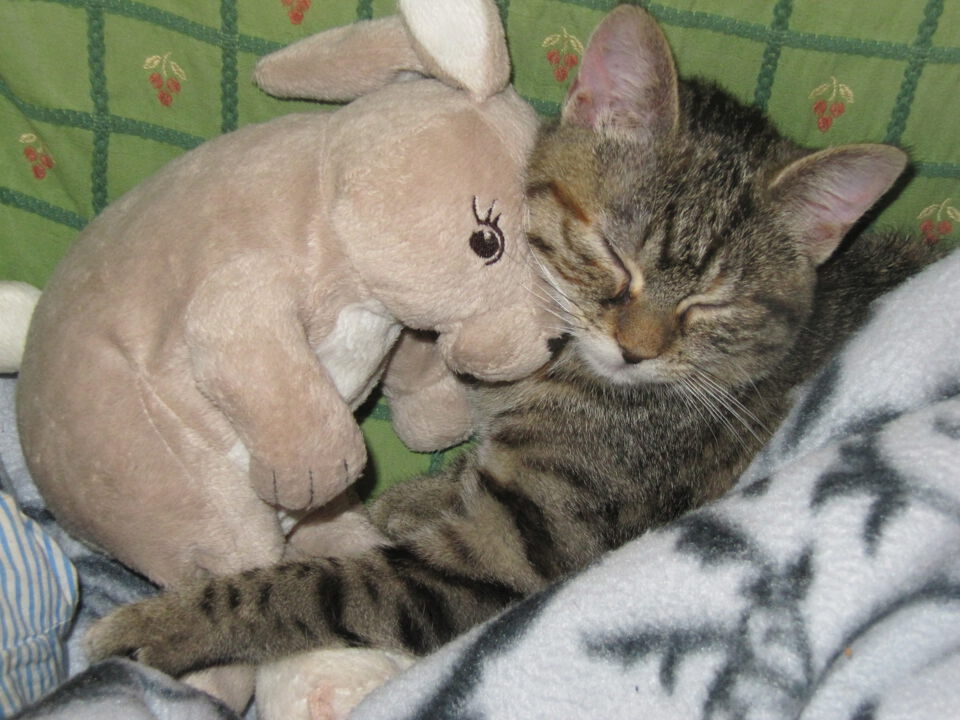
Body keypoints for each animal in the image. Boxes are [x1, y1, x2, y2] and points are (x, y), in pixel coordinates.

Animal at [86, 5, 940, 676]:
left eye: (712, 303)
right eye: (613, 255)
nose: (637, 350)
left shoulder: (510, 559)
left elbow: (320, 584)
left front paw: (165, 623)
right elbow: (463, 475)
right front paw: (418, 494)